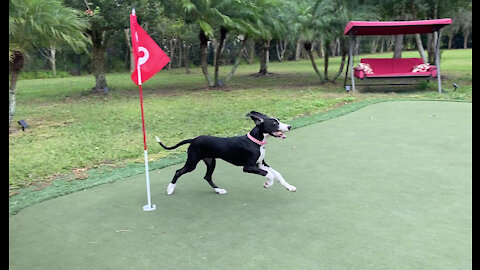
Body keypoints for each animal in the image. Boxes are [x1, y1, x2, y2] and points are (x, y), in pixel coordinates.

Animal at [156, 110, 296, 195]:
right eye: (274, 123)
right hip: (192, 162)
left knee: (207, 177)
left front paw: (289, 187)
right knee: (178, 172)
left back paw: (219, 190)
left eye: (278, 120)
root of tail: (193, 139)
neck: (255, 141)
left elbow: (277, 174)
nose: (289, 127)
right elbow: (270, 174)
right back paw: (170, 189)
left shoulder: (261, 164)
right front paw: (268, 184)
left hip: (210, 161)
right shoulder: (248, 167)